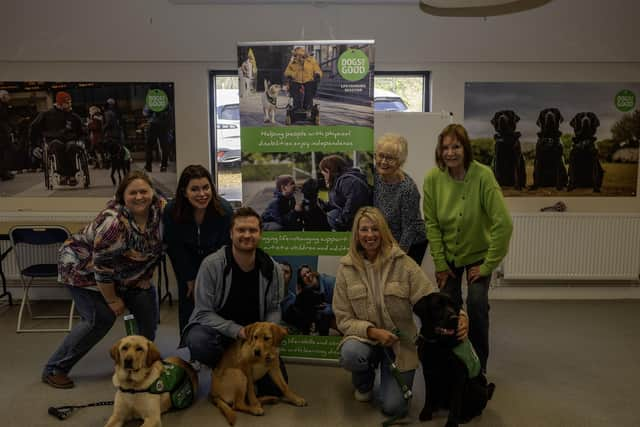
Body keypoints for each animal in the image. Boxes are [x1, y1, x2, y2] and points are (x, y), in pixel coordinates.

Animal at [412, 294, 498, 427]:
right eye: (437, 306)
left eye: (453, 306)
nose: (454, 318)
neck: (438, 344)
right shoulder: (428, 371)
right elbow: (429, 394)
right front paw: (427, 411)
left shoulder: (458, 375)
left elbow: (456, 403)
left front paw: (452, 423)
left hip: (474, 386)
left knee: (476, 409)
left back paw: (466, 416)